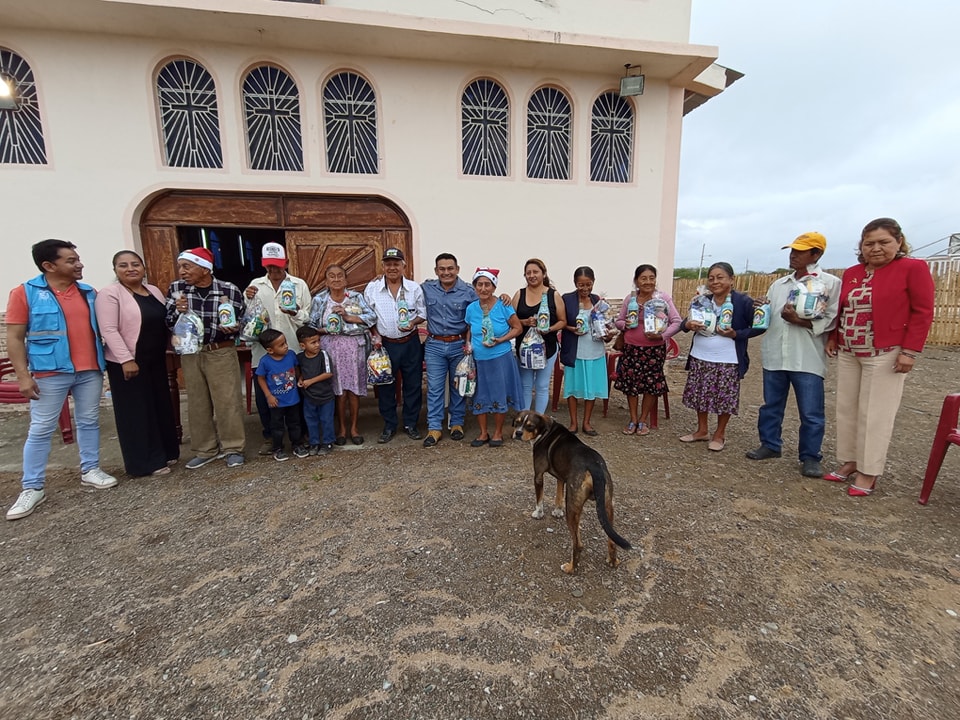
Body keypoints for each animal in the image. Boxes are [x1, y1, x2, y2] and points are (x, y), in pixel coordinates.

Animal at [513, 411, 631, 574]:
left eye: (530, 426)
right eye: (517, 422)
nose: (517, 433)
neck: (545, 431)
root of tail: (594, 466)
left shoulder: (538, 476)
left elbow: (539, 499)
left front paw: (538, 513)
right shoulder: (562, 478)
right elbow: (558, 496)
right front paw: (557, 511)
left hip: (573, 509)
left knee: (578, 544)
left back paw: (570, 567)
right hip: (607, 506)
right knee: (612, 540)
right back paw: (613, 562)